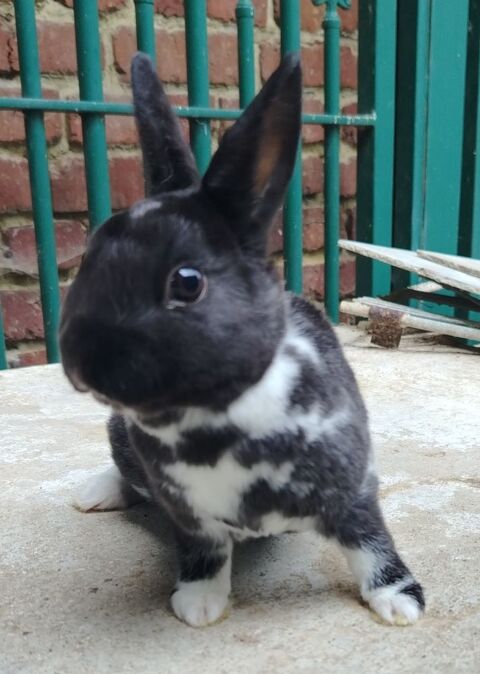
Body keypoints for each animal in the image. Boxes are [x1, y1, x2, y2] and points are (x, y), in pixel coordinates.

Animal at [59, 52, 425, 628]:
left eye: (187, 282)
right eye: (92, 253)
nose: (79, 364)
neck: (213, 416)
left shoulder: (356, 487)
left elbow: (371, 542)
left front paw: (400, 602)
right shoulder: (188, 516)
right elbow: (203, 550)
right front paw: (199, 603)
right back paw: (94, 494)